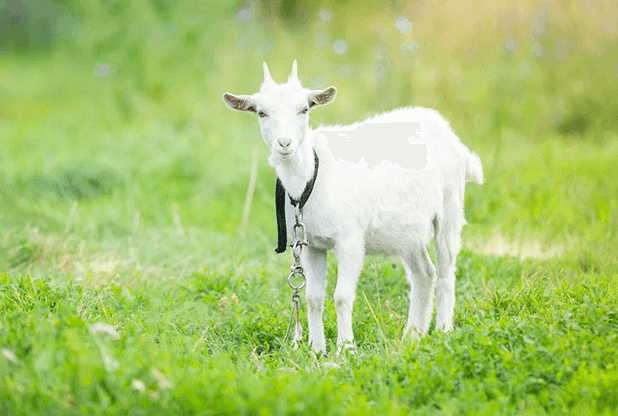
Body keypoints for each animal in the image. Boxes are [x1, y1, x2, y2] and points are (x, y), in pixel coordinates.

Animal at [221, 60, 482, 352]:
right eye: (261, 113)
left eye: (304, 109)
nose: (284, 143)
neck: (312, 176)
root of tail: (451, 137)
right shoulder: (312, 245)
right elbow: (313, 297)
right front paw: (317, 349)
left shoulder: (350, 240)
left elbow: (342, 296)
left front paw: (346, 348)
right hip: (407, 232)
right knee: (424, 273)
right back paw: (412, 336)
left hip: (449, 208)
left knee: (446, 271)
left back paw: (444, 331)